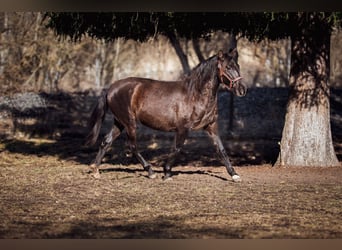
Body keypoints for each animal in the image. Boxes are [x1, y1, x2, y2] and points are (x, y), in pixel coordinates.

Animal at [85, 48, 246, 182]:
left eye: (238, 66)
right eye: (228, 67)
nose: (242, 90)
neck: (196, 94)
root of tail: (111, 88)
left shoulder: (211, 126)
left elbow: (221, 149)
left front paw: (234, 174)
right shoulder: (183, 128)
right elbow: (177, 148)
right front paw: (167, 172)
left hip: (120, 123)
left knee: (106, 141)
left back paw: (95, 170)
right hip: (129, 123)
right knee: (132, 146)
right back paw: (150, 171)